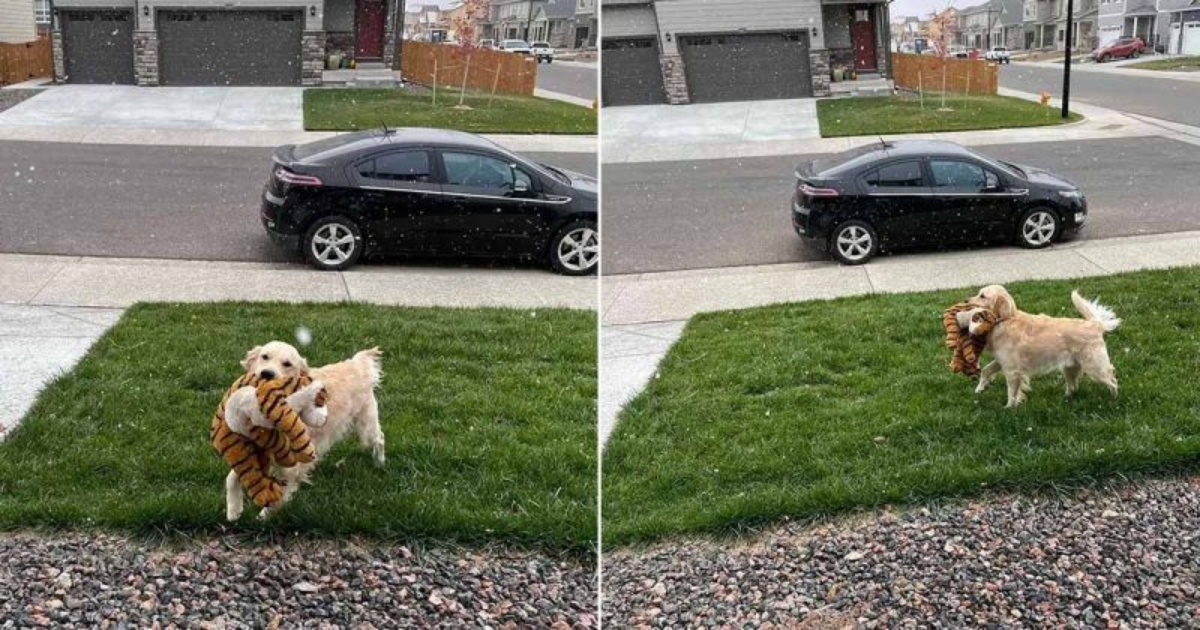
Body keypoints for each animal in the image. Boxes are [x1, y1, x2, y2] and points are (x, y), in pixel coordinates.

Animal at [228, 340, 384, 518]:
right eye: (264, 356)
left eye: (287, 364)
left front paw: (265, 515)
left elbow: (280, 492)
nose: (267, 374)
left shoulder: (291, 464)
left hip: (366, 424)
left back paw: (380, 463)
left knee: (379, 439)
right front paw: (234, 509)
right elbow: (233, 476)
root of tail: (356, 364)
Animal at [960, 284, 1118, 408]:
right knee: (1073, 386)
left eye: (982, 296)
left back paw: (1113, 400)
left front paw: (1009, 408)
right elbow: (985, 371)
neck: (1005, 320)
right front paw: (979, 389)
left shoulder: (1012, 371)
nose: (965, 300)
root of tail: (1095, 324)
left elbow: (1011, 393)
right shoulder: (1001, 361)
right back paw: (1066, 398)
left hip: (1095, 368)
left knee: (1113, 381)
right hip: (1069, 367)